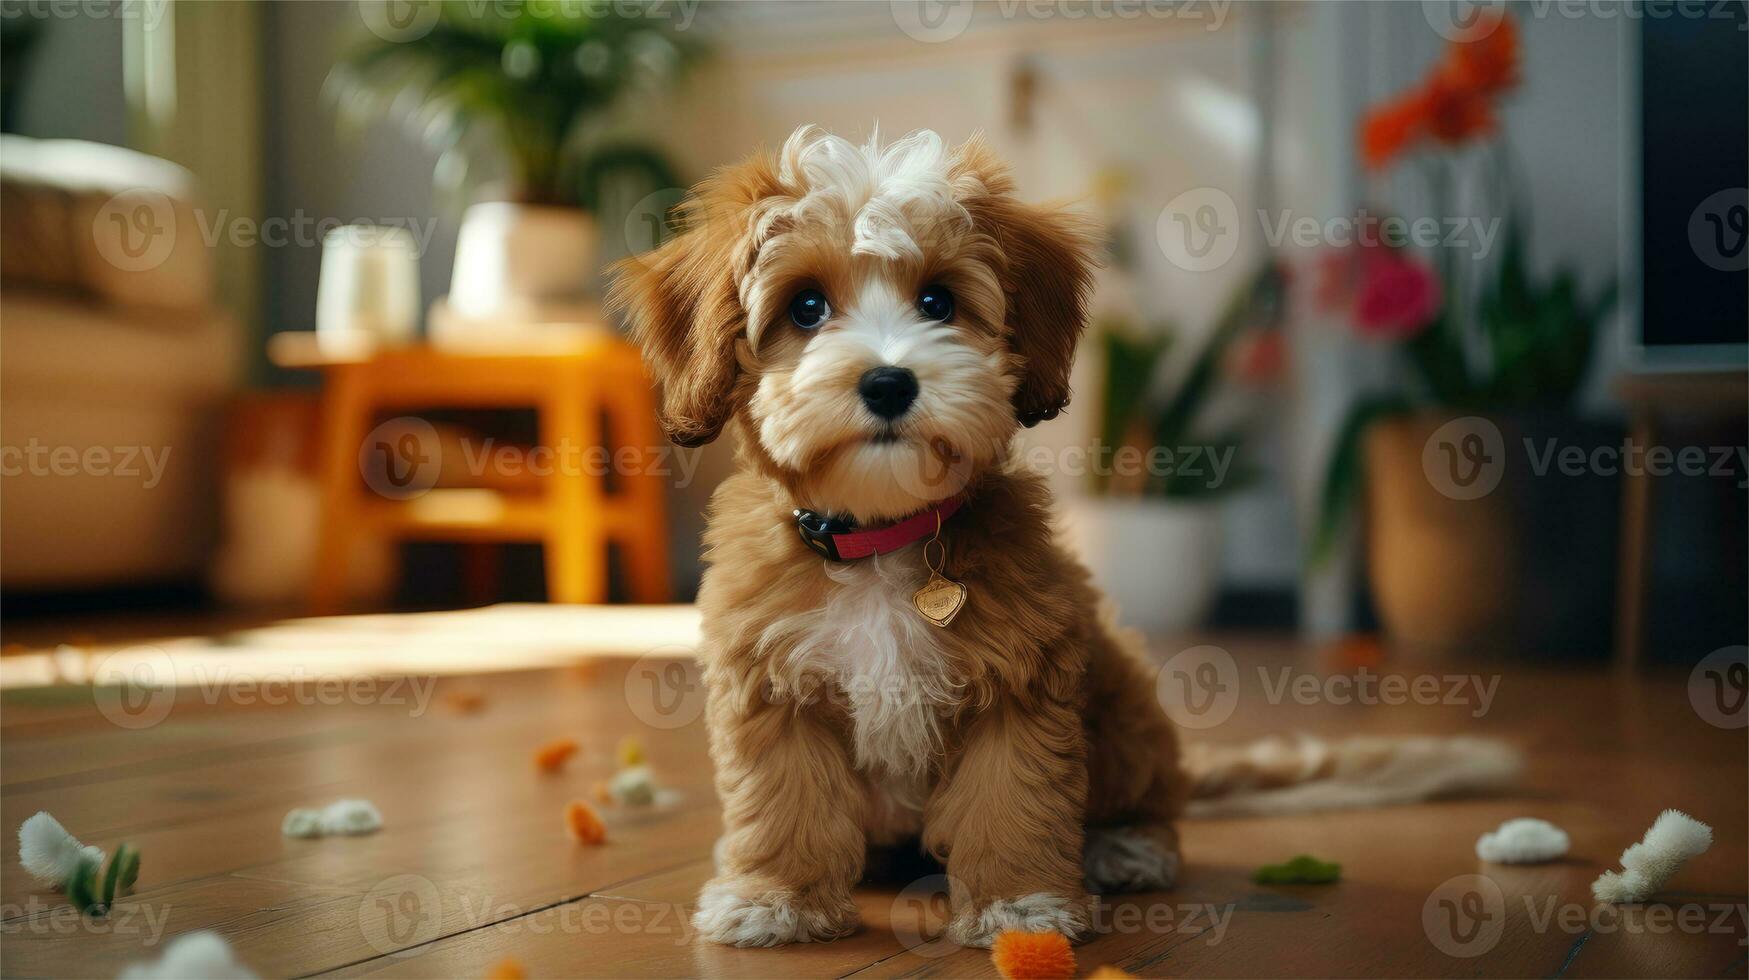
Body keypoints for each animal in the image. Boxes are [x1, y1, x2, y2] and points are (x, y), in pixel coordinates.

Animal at [608, 126, 1182, 945]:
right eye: (806, 307)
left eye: (938, 301)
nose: (887, 383)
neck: (878, 540)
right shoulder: (770, 683)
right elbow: (781, 797)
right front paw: (774, 898)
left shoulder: (1019, 678)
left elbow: (1013, 797)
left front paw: (1020, 903)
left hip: (1125, 702)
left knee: (1149, 793)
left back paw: (1126, 846)